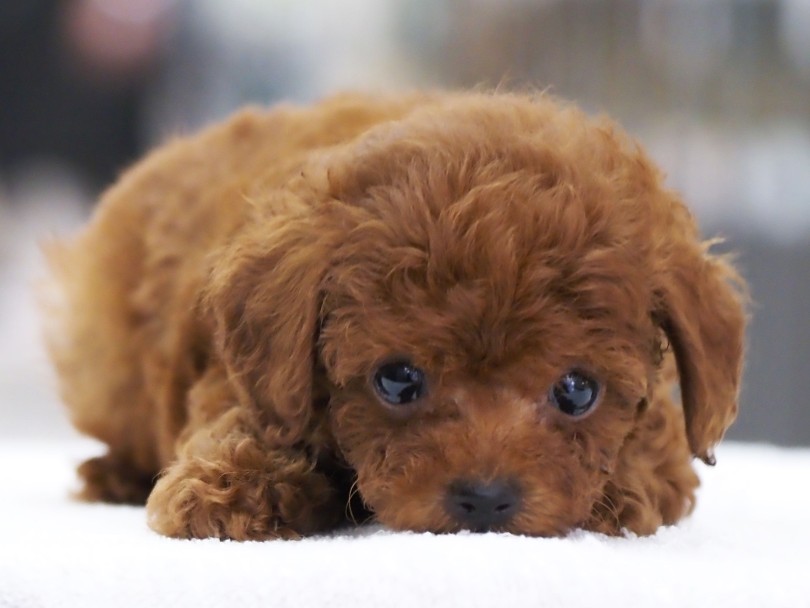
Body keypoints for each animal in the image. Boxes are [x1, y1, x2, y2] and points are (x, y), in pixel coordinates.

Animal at [45, 90, 744, 536]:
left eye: (577, 392)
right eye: (398, 381)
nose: (485, 500)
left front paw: (621, 489)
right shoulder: (249, 376)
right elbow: (248, 418)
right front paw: (231, 484)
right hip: (108, 367)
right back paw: (112, 474)